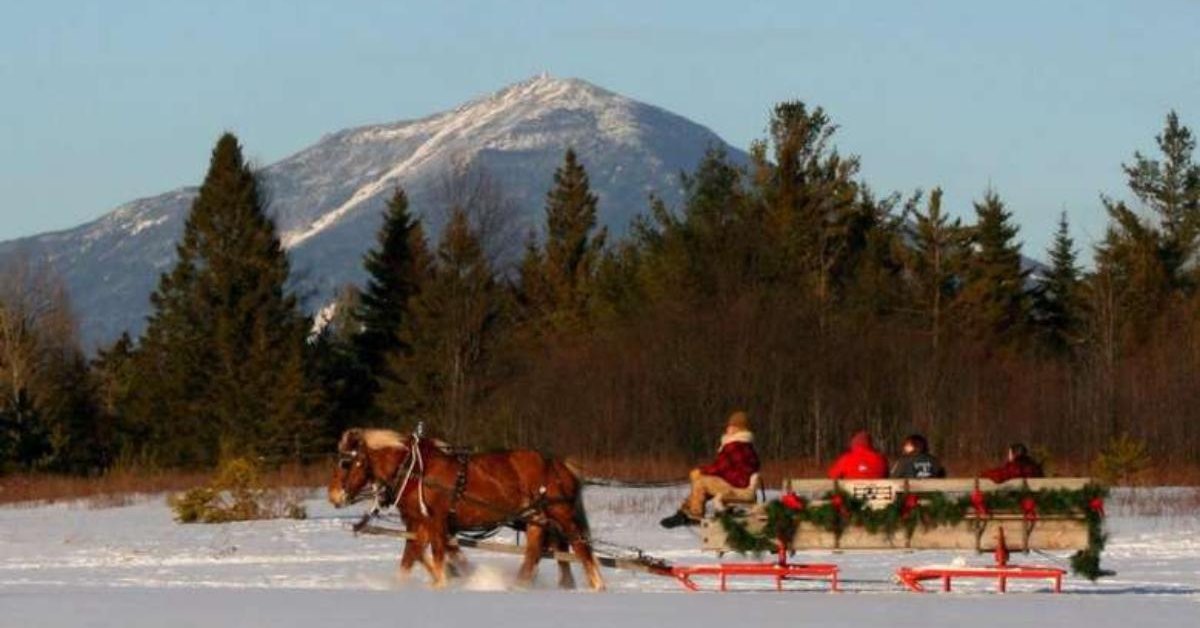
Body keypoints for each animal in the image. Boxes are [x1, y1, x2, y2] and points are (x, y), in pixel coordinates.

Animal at [328, 427, 604, 590]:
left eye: (345, 463)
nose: (333, 497)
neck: (414, 471)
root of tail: (560, 465)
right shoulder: (420, 523)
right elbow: (411, 558)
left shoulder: (435, 521)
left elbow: (436, 555)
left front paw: (442, 582)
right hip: (535, 518)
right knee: (535, 553)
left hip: (562, 514)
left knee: (582, 549)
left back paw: (597, 585)